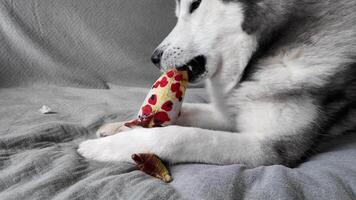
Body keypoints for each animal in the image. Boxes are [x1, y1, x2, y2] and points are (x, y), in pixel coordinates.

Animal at [78, 0, 356, 167]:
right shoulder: (228, 113)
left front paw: (102, 147)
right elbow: (186, 112)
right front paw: (121, 126)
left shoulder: (273, 149)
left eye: (195, 5)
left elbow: (178, 136)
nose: (154, 58)